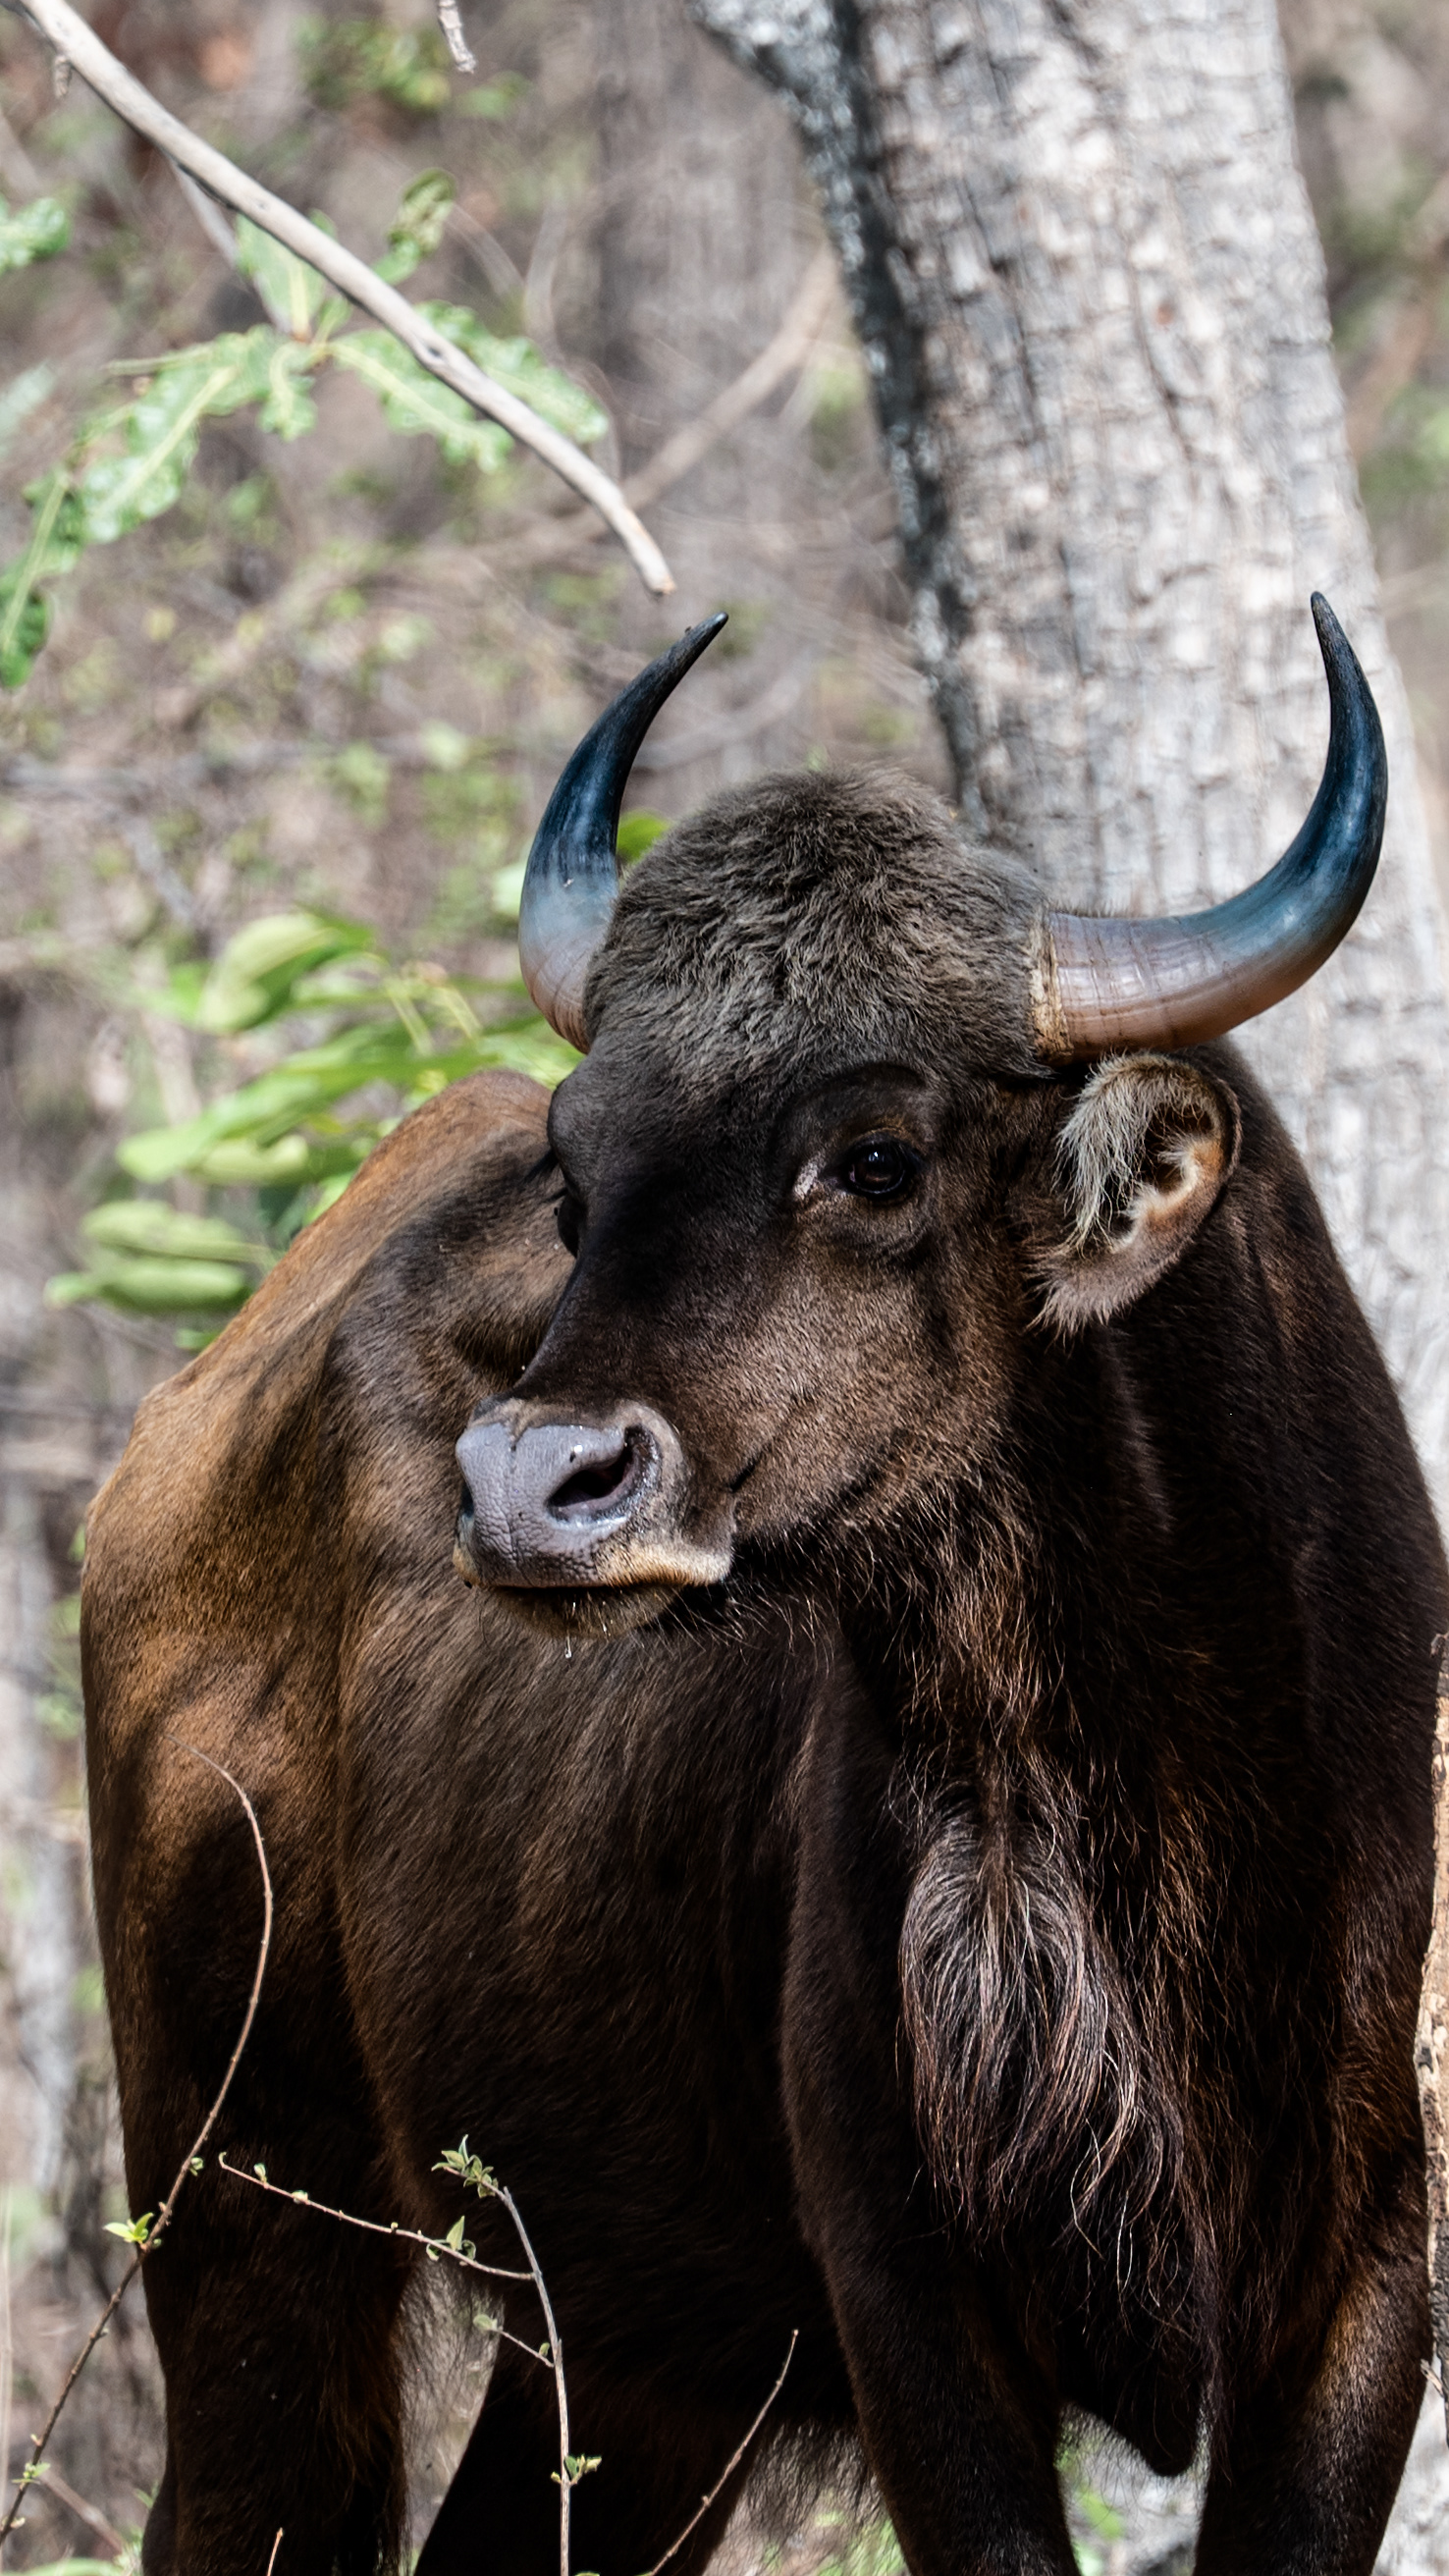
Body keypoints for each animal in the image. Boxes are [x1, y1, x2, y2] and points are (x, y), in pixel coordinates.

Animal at [84, 597, 1444, 2576]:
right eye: (577, 1174)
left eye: (874, 1155)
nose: (534, 1483)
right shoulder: (905, 2301)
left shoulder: (1359, 2291)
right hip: (240, 2208)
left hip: (635, 2356)